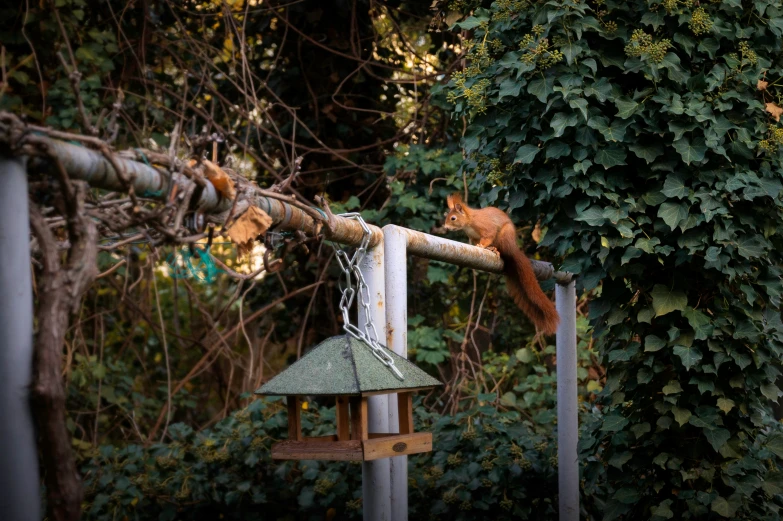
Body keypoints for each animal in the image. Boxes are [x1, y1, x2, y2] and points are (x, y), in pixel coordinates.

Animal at [444, 193, 560, 336]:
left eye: (453, 218)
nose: (445, 227)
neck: (469, 221)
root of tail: (513, 248)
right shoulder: (473, 237)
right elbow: (477, 241)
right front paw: (481, 246)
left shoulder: (486, 227)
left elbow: (488, 235)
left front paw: (482, 246)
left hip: (504, 236)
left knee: (503, 249)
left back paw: (496, 250)